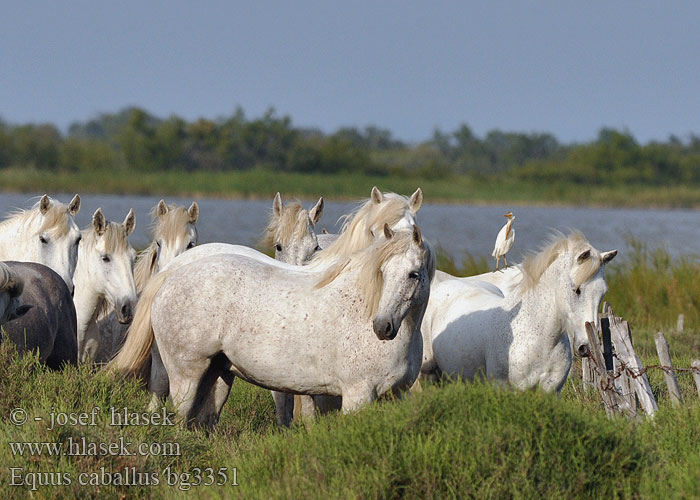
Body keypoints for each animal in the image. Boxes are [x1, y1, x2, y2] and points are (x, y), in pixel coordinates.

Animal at [113, 225, 434, 428]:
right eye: (382, 271)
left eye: (413, 274)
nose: (382, 327)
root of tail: (169, 276)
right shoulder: (357, 397)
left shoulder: (397, 396)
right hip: (186, 375)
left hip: (218, 375)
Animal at [422, 232, 612, 392]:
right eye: (577, 290)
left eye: (603, 292)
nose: (586, 346)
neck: (539, 338)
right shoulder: (507, 389)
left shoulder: (551, 392)